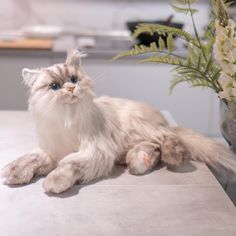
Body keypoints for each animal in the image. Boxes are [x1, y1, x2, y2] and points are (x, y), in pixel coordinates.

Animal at [1, 50, 236, 194]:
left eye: (74, 79)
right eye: (55, 87)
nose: (70, 88)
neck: (66, 120)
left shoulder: (95, 150)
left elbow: (68, 164)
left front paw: (53, 182)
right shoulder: (50, 150)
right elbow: (31, 159)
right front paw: (13, 172)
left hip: (140, 125)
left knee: (167, 139)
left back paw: (170, 156)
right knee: (152, 147)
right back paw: (141, 161)